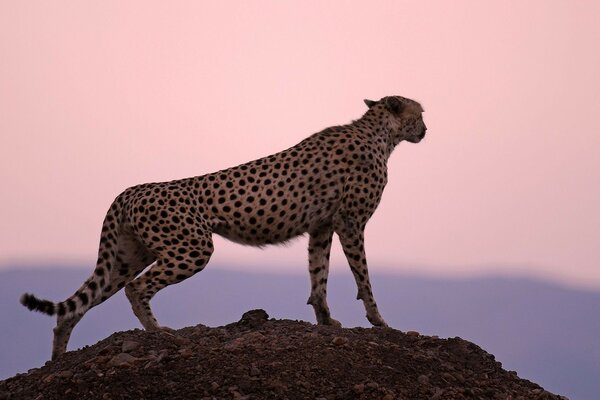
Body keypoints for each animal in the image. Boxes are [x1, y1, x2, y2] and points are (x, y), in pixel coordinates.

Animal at [21, 94, 424, 360]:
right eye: (420, 113)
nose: (425, 129)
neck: (378, 133)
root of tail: (130, 190)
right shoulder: (350, 223)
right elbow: (363, 277)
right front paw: (379, 321)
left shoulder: (321, 226)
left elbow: (318, 276)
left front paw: (326, 320)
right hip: (192, 248)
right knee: (137, 288)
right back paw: (158, 333)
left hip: (127, 257)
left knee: (75, 305)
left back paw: (57, 359)